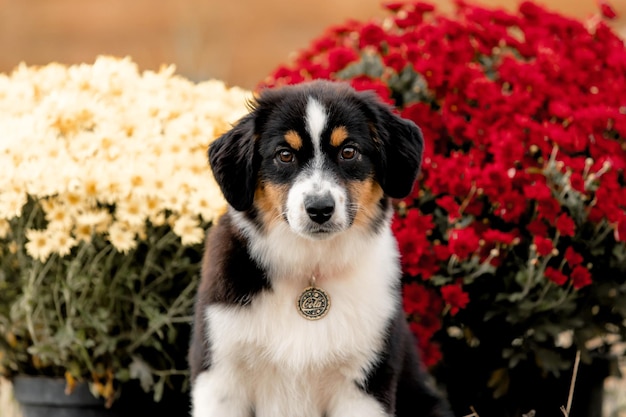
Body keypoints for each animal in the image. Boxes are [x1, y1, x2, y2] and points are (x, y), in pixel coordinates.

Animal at [188, 79, 450, 416]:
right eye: (284, 155)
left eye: (349, 152)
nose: (320, 209)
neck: (310, 265)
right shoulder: (220, 374)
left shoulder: (366, 385)